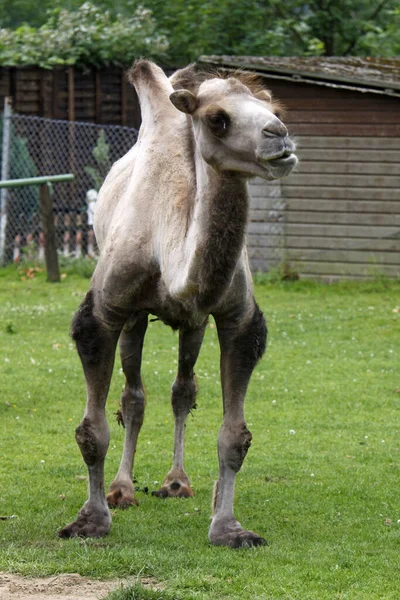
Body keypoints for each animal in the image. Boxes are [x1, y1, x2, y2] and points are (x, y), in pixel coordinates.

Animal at [58, 61, 296, 548]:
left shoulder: (234, 318)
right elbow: (92, 430)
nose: (279, 136)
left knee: (182, 389)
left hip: (193, 325)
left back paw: (175, 481)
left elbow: (234, 435)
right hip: (135, 319)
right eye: (218, 119)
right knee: (133, 396)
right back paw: (122, 489)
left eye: (274, 110)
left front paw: (229, 528)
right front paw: (89, 521)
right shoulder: (104, 313)